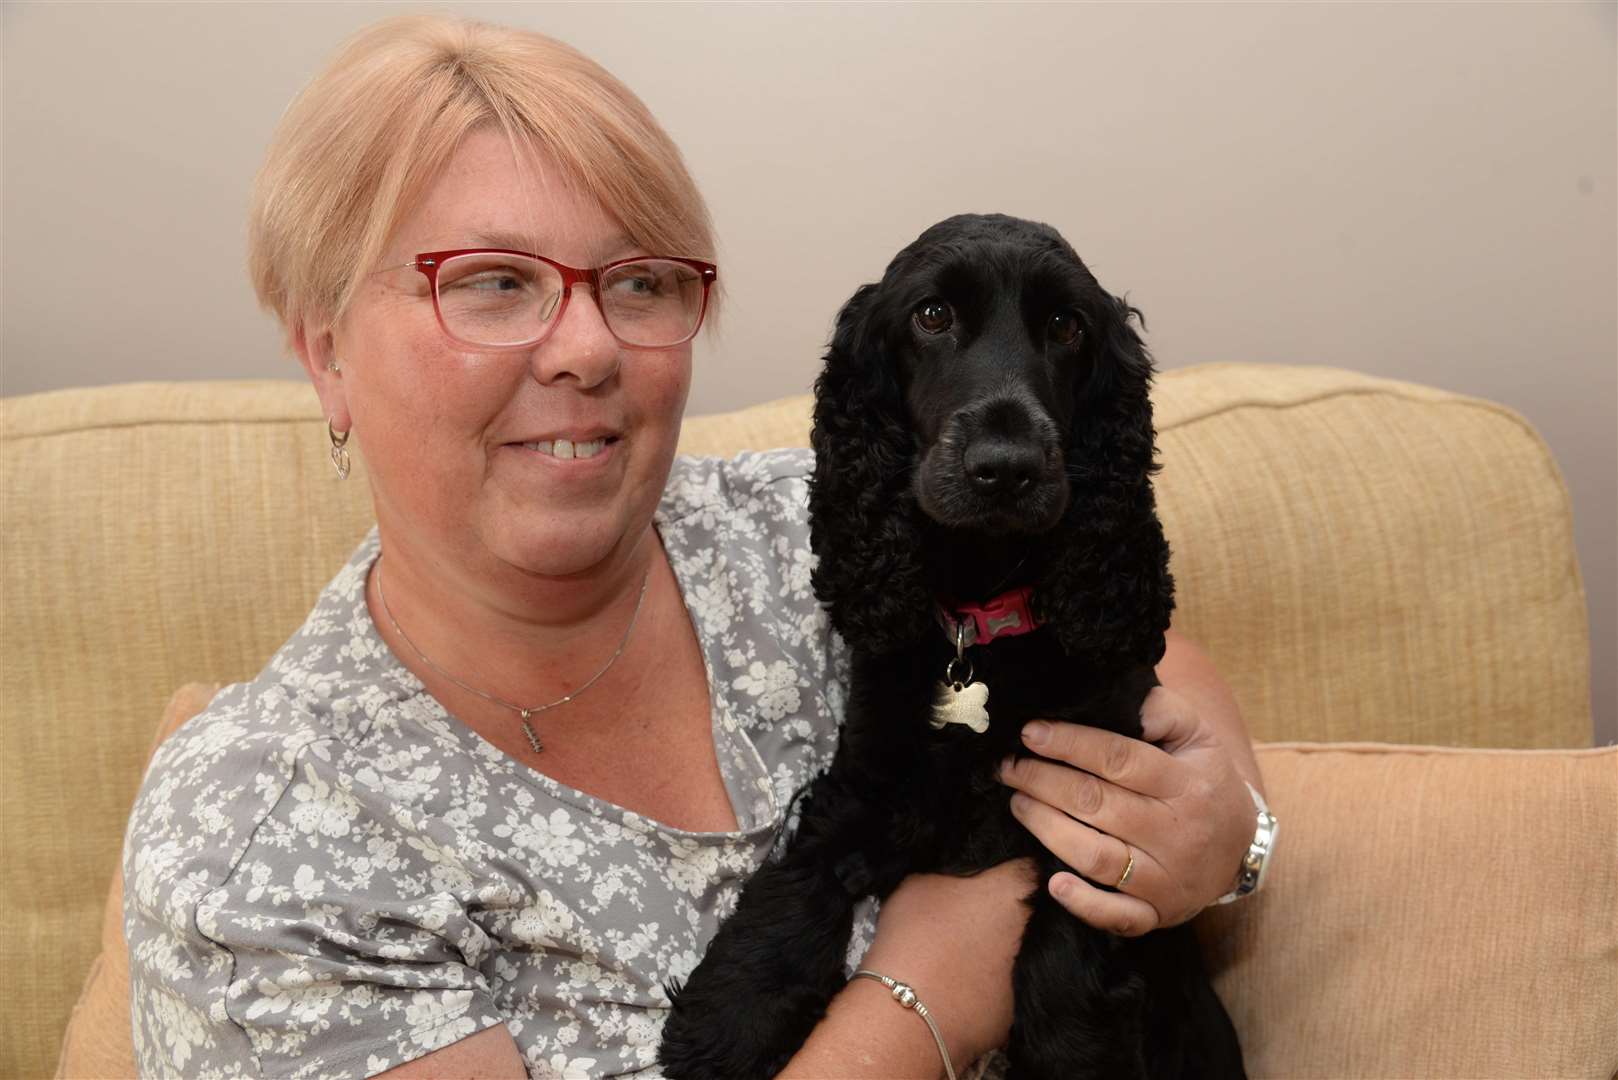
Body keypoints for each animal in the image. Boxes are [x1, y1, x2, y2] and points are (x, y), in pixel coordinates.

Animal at [663, 213, 1242, 1080]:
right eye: (931, 316)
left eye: (1067, 325)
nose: (1006, 469)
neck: (981, 613)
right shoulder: (873, 770)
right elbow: (803, 874)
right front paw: (725, 1020)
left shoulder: (1099, 805)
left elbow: (1067, 956)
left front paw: (1072, 1057)